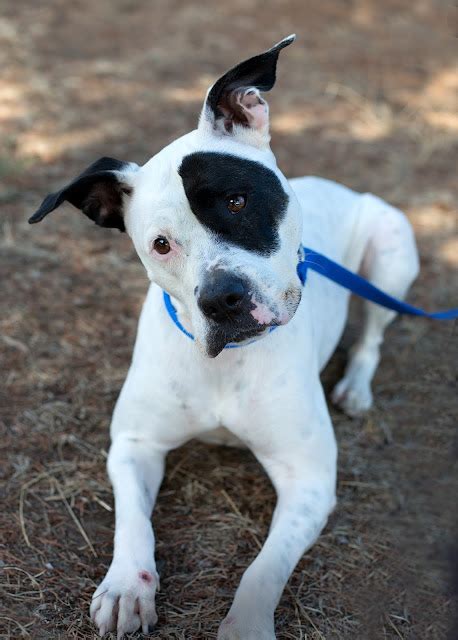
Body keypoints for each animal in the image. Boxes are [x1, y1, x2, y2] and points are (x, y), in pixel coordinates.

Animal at [29, 36, 418, 640]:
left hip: (391, 251)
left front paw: (246, 623)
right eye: (161, 243)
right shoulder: (134, 445)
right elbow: (133, 522)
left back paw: (355, 387)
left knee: (372, 337)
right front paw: (127, 586)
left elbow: (266, 567)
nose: (222, 299)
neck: (226, 361)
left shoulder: (309, 479)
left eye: (237, 201)